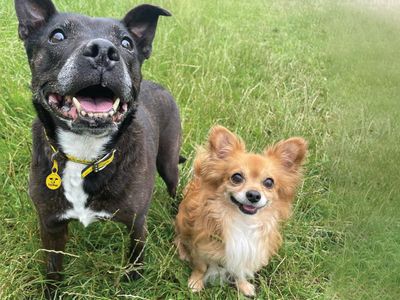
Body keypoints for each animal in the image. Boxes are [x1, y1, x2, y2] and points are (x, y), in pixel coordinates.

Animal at [14, 0, 182, 296]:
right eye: (57, 36)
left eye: (126, 43)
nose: (104, 51)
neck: (84, 153)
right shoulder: (50, 225)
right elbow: (52, 270)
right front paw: (52, 292)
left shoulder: (137, 223)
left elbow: (135, 257)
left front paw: (133, 281)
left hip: (169, 162)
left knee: (175, 186)